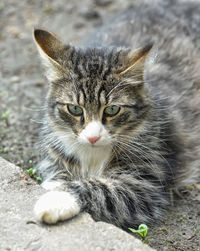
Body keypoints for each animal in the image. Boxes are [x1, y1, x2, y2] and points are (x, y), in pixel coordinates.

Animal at [33, 0, 199, 229]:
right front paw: (55, 184)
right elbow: (60, 172)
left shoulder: (144, 182)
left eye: (112, 110)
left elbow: (99, 188)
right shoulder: (54, 155)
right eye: (75, 109)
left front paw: (57, 199)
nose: (93, 137)